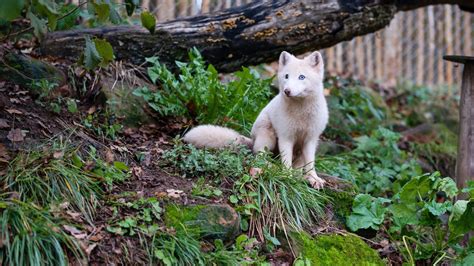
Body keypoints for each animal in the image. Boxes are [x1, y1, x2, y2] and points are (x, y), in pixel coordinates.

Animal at [183, 51, 328, 188]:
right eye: (286, 76)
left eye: (301, 77)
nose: (287, 91)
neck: (302, 113)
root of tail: (252, 139)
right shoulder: (286, 137)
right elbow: (286, 162)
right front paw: (287, 176)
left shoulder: (310, 139)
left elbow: (310, 163)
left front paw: (313, 178)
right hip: (268, 137)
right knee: (259, 157)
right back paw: (273, 167)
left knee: (296, 164)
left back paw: (299, 175)